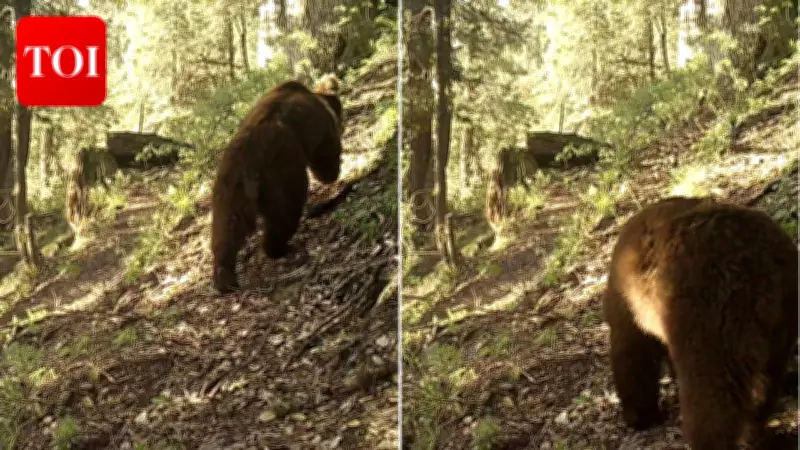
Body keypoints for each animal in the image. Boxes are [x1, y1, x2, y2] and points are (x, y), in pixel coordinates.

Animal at [211, 75, 344, 294]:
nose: (343, 125)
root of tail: (247, 164)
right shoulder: (319, 130)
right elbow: (325, 155)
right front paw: (333, 174)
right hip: (280, 173)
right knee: (285, 211)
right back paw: (281, 248)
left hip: (229, 189)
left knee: (227, 228)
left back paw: (225, 279)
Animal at [602, 196, 798, 449]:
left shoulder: (629, 305)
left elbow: (631, 355)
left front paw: (639, 416)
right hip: (783, 313)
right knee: (765, 381)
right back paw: (753, 434)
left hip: (707, 313)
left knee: (710, 393)